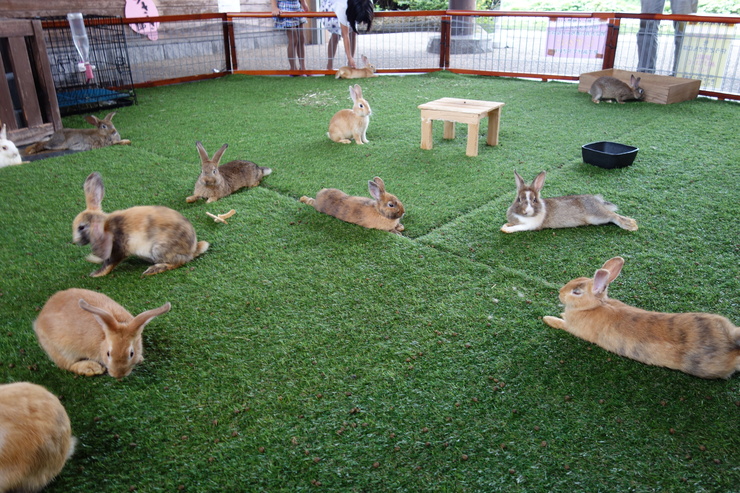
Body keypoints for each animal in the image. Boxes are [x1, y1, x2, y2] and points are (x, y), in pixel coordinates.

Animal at [34, 286, 171, 378]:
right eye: (108, 353)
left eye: (131, 353)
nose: (118, 376)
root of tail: (39, 320)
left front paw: (140, 359)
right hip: (60, 351)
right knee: (67, 365)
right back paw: (91, 368)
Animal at [72, 171, 210, 274]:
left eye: (81, 227)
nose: (75, 241)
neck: (104, 227)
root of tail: (192, 249)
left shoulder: (119, 248)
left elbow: (110, 263)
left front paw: (96, 274)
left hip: (158, 249)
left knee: (178, 262)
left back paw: (153, 270)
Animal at [500, 170, 640, 234]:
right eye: (519, 199)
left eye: (534, 200)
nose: (526, 211)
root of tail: (597, 201)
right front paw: (506, 225)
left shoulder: (530, 225)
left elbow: (518, 227)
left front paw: (506, 229)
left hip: (596, 216)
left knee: (613, 216)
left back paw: (631, 225)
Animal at [544, 256, 740, 378]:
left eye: (576, 292)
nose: (560, 293)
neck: (593, 306)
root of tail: (731, 340)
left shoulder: (573, 328)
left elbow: (561, 323)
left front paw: (548, 318)